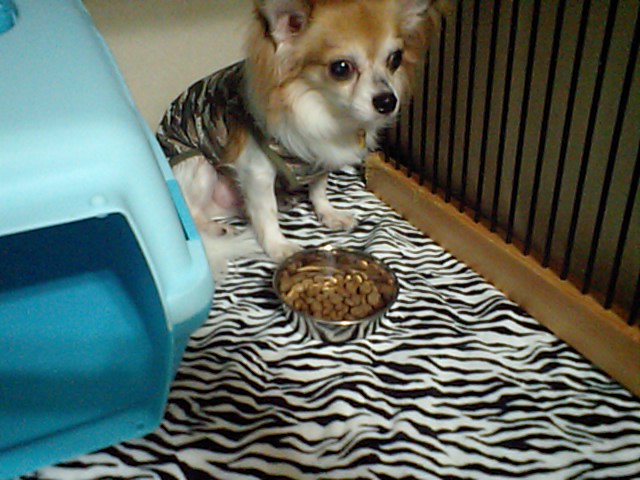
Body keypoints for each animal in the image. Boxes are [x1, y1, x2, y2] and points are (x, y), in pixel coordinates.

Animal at [157, 0, 445, 279]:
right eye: (341, 68)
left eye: (395, 59)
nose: (387, 101)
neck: (325, 110)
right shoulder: (256, 171)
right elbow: (265, 212)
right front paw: (278, 245)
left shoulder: (320, 160)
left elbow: (319, 189)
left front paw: (328, 213)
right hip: (199, 165)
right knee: (193, 212)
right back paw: (215, 228)